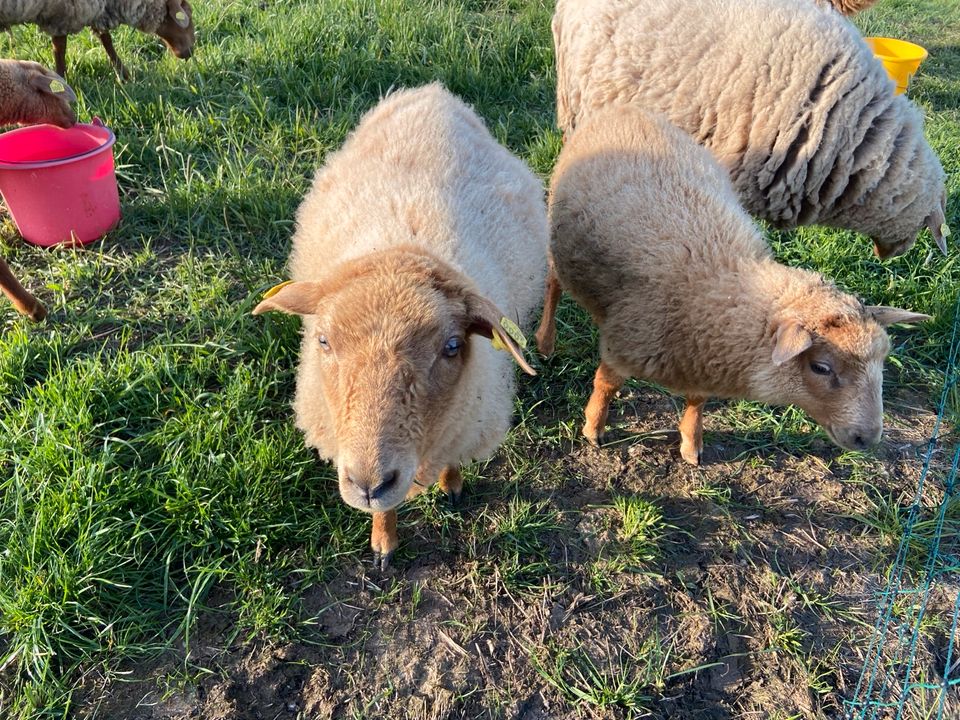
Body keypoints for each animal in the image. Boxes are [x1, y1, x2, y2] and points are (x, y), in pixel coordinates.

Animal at [0, 0, 195, 79]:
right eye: (189, 12)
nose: (191, 52)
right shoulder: (64, 13)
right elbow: (60, 47)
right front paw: (62, 78)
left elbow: (105, 38)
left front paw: (123, 75)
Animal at [251, 83, 548, 568]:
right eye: (323, 340)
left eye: (452, 346)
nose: (369, 483)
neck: (400, 250)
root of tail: (431, 93)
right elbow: (386, 512)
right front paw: (383, 540)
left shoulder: (463, 419)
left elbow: (452, 460)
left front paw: (451, 485)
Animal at [532, 105, 928, 466]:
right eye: (821, 368)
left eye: (882, 362)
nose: (868, 438)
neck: (724, 282)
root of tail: (624, 109)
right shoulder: (624, 342)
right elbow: (606, 385)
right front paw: (592, 429)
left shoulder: (701, 356)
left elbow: (697, 401)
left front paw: (691, 445)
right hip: (558, 238)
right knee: (553, 283)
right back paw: (545, 341)